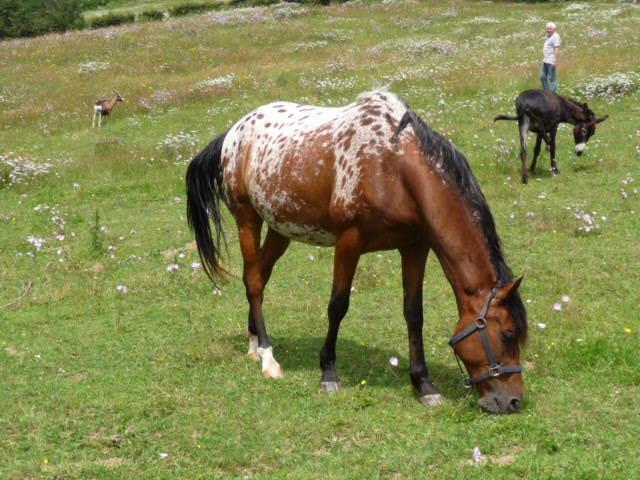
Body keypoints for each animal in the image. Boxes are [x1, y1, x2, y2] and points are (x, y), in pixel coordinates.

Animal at [188, 90, 528, 412]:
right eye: (508, 334)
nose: (512, 401)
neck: (393, 168)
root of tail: (234, 132)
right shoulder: (349, 242)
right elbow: (337, 306)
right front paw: (328, 373)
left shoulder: (415, 246)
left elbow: (413, 313)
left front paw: (424, 384)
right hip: (247, 218)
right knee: (255, 282)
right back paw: (268, 358)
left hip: (280, 228)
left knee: (258, 274)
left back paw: (254, 344)